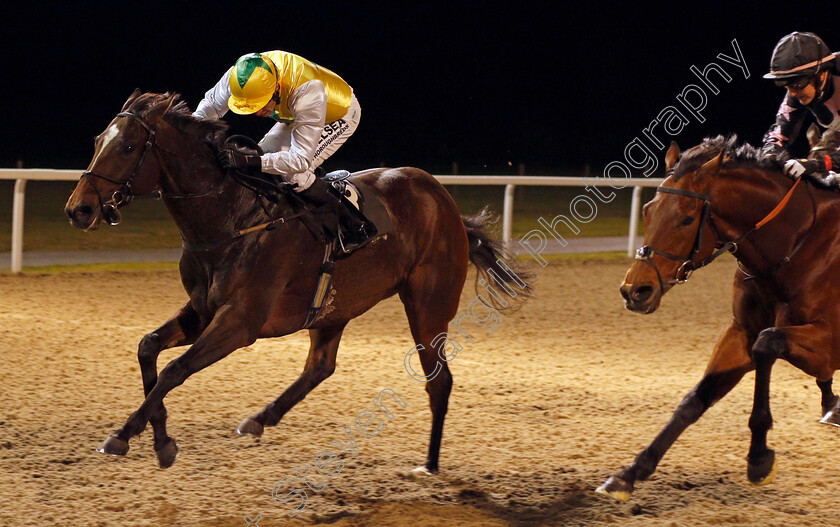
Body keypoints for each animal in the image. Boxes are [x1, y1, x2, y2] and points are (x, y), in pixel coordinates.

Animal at [65, 91, 532, 470]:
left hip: (428, 306)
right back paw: (260, 419)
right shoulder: (202, 310)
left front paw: (124, 435)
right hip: (335, 306)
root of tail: (444, 201)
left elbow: (174, 370)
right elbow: (148, 349)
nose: (78, 210)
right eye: (97, 141)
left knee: (439, 380)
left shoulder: (240, 323)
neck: (233, 219)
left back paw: (430, 466)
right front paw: (161, 440)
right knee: (321, 365)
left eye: (128, 146)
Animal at [600, 134, 840, 502]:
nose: (635, 290)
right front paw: (630, 472)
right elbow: (694, 400)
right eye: (647, 210)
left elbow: (768, 344)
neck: (800, 244)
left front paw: (758, 457)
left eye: (687, 218)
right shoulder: (740, 333)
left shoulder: (828, 344)